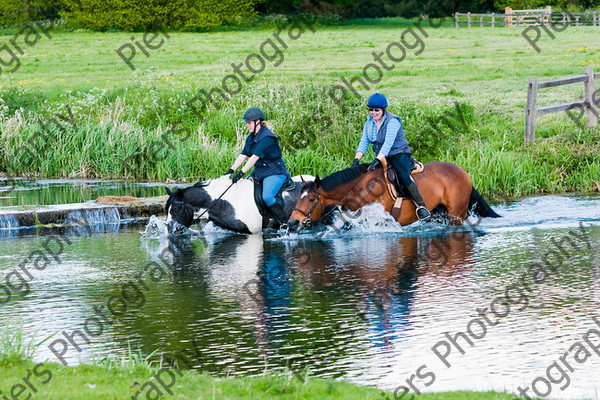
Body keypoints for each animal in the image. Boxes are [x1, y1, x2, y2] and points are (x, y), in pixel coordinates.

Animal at [288, 160, 500, 231]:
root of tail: (463, 172)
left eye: (312, 199)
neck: (358, 188)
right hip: (440, 212)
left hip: (456, 213)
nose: (292, 223)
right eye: (298, 197)